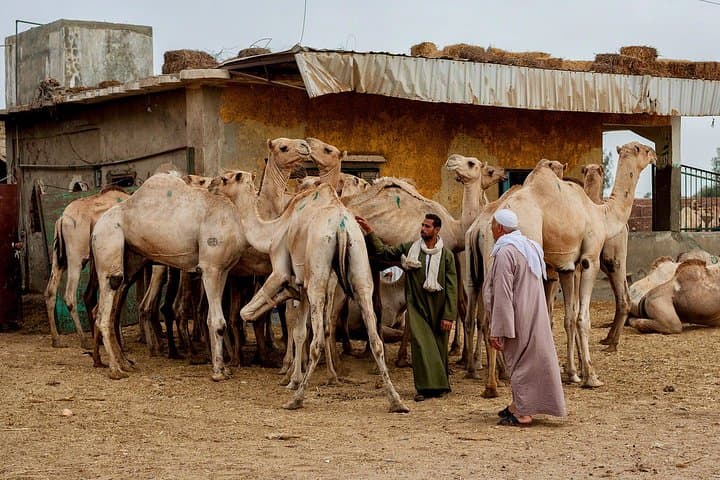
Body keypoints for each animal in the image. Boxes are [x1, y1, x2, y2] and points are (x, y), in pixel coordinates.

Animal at [44, 185, 130, 349]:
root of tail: (62, 220)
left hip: (60, 260)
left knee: (50, 292)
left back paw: (56, 340)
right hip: (77, 258)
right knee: (70, 295)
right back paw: (84, 341)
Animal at [90, 138, 310, 381]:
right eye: (283, 147)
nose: (305, 146)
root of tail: (97, 222)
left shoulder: (225, 271)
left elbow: (220, 318)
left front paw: (225, 366)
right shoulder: (213, 267)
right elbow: (222, 320)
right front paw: (221, 370)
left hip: (132, 257)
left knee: (111, 308)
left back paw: (121, 361)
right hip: (110, 239)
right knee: (110, 301)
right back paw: (117, 367)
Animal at [206, 173, 408, 413]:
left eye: (225, 178)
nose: (210, 184)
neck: (273, 230)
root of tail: (341, 226)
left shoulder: (282, 269)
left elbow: (249, 312)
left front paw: (292, 380)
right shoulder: (303, 287)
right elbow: (299, 331)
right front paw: (293, 379)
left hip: (318, 272)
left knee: (318, 340)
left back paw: (297, 399)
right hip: (359, 265)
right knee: (375, 338)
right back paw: (396, 400)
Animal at [465, 142, 656, 396]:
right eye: (642, 149)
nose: (655, 154)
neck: (601, 214)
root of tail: (487, 224)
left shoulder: (567, 267)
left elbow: (569, 317)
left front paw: (572, 372)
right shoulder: (588, 260)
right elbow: (582, 318)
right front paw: (590, 376)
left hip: (487, 268)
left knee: (488, 318)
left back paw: (491, 384)